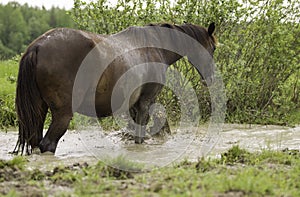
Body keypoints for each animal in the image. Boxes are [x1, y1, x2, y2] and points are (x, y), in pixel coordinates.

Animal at [14, 21, 217, 154]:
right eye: (213, 48)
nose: (211, 78)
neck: (155, 47)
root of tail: (37, 46)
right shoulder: (146, 101)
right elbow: (140, 134)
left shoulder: (135, 105)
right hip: (62, 113)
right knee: (47, 144)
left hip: (40, 110)